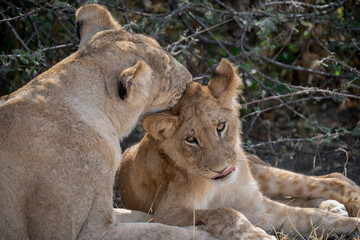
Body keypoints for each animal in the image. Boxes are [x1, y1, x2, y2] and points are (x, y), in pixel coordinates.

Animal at [0, 3, 214, 240]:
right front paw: (205, 233)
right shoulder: (84, 230)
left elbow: (144, 216)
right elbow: (159, 230)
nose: (191, 78)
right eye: (167, 74)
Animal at [119, 59, 360, 239]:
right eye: (190, 139)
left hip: (263, 173)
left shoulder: (254, 205)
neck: (219, 186)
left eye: (220, 127)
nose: (221, 169)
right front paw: (259, 236)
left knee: (334, 178)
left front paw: (352, 223)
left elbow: (311, 216)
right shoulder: (163, 215)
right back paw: (332, 205)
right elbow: (224, 212)